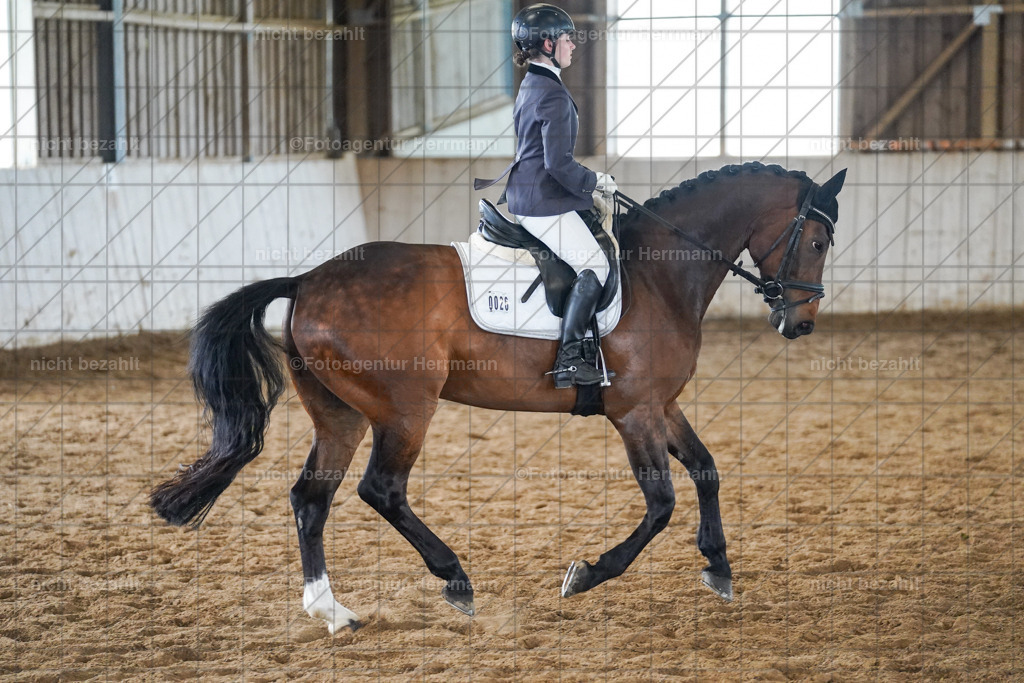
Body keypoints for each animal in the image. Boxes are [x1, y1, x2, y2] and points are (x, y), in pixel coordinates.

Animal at [151, 161, 847, 634]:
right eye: (816, 242)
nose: (802, 323)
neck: (659, 273)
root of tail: (306, 280)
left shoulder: (661, 405)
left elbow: (706, 469)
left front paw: (719, 568)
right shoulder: (635, 413)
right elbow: (661, 505)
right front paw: (587, 574)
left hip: (340, 415)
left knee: (310, 498)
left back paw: (332, 610)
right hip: (405, 411)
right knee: (381, 490)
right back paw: (455, 579)